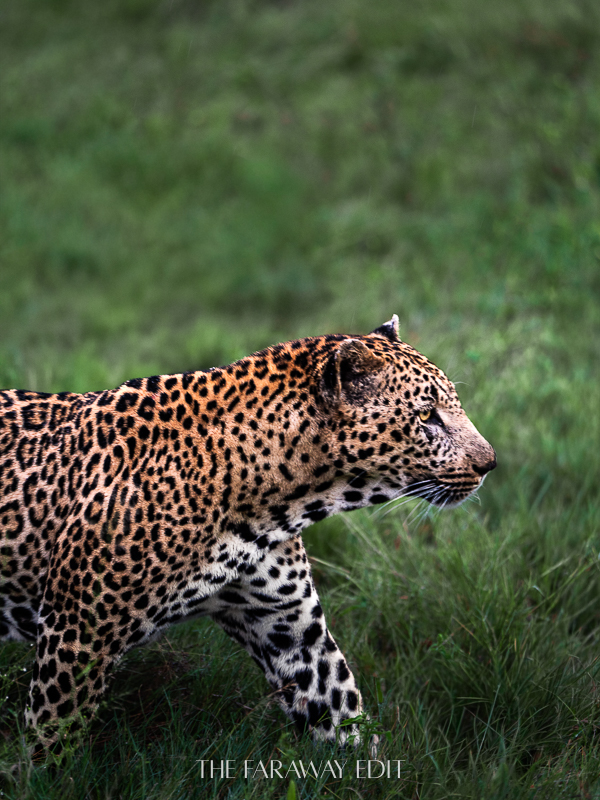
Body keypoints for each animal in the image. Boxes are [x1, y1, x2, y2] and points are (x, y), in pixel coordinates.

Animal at [0, 316, 496, 749]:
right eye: (427, 417)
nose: (489, 464)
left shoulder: (290, 629)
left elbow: (341, 713)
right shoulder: (77, 635)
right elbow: (52, 737)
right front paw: (38, 777)